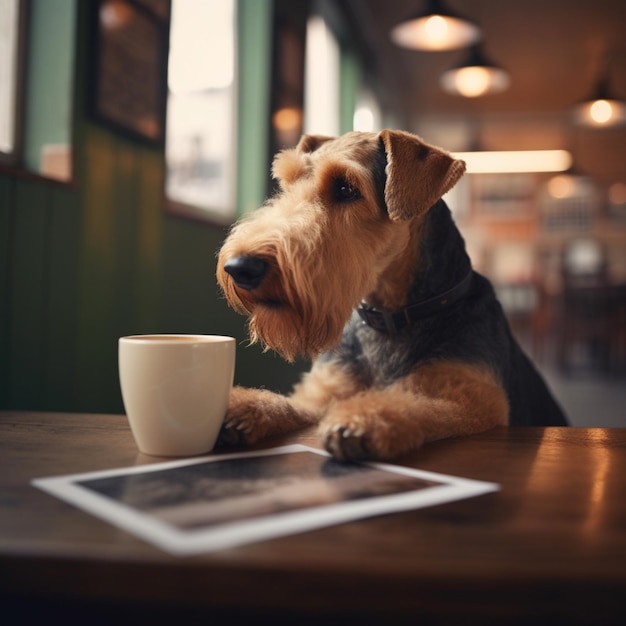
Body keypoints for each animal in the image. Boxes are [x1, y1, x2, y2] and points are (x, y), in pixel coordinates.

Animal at [214, 129, 564, 460]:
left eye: (346, 189)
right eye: (286, 185)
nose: (240, 267)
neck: (389, 318)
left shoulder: (472, 397)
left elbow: (416, 404)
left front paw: (361, 421)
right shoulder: (321, 393)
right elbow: (286, 402)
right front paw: (237, 408)